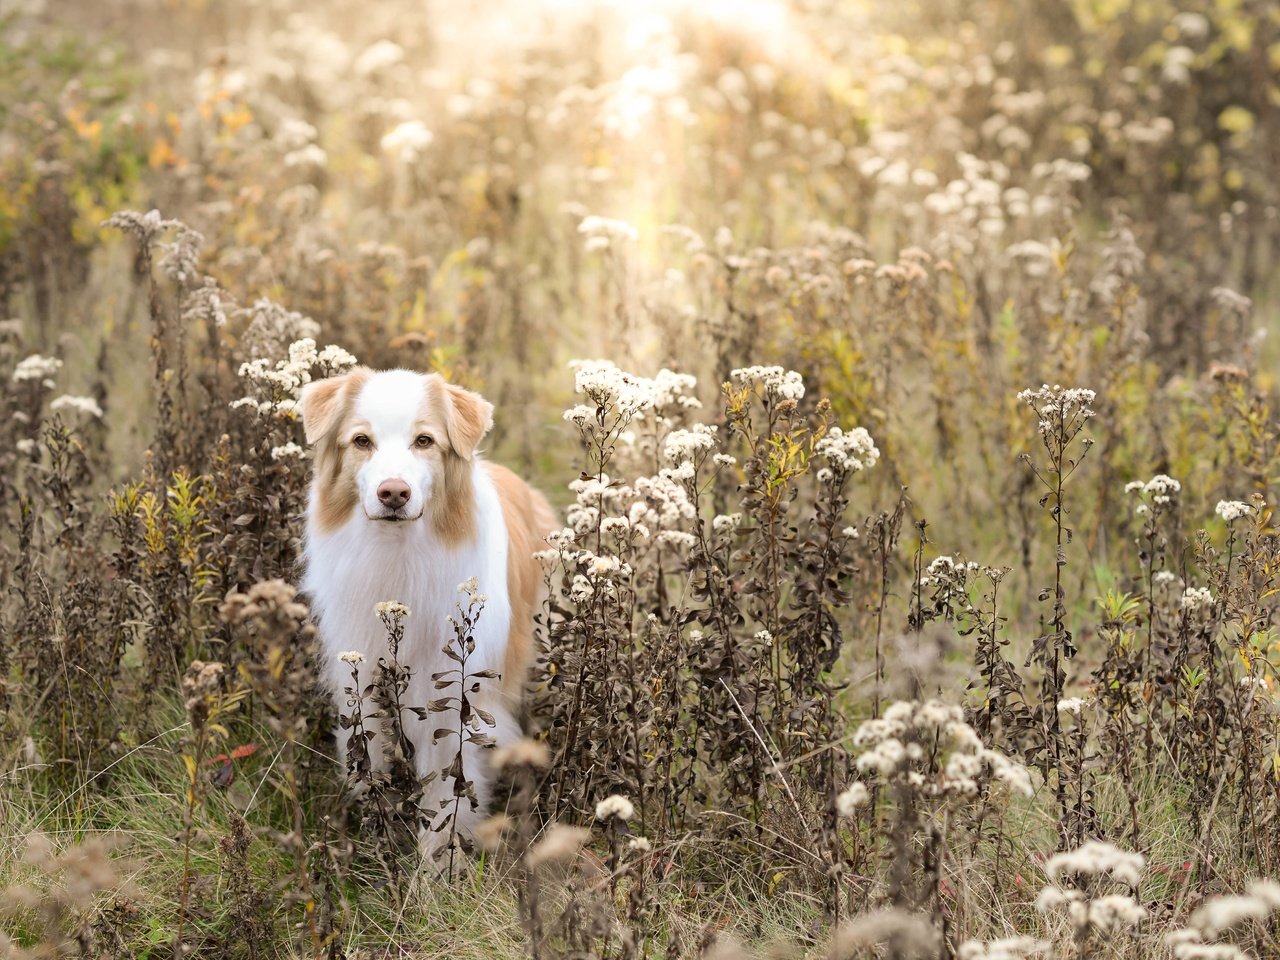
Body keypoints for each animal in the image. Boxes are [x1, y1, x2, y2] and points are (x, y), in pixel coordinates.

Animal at [299, 371, 560, 855]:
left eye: (424, 440)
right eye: (361, 441)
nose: (393, 493)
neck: (398, 551)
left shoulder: (456, 703)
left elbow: (446, 797)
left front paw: (435, 868)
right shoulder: (362, 683)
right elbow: (370, 764)